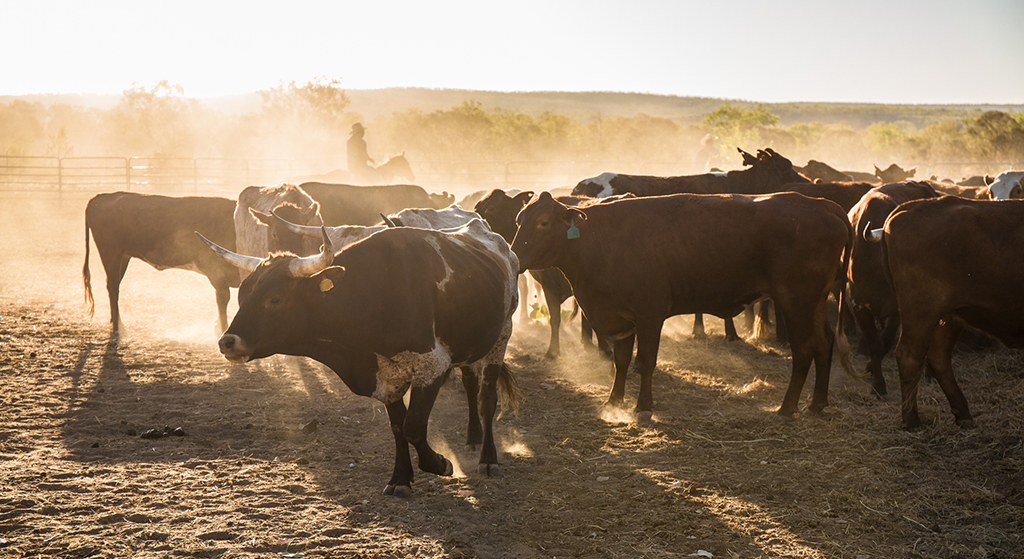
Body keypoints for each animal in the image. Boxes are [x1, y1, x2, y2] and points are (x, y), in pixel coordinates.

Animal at [82, 191, 239, 333]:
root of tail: (101, 197)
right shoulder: (215, 272)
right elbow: (223, 300)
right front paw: (223, 329)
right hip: (111, 254)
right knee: (113, 287)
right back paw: (118, 328)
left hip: (123, 257)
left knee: (112, 285)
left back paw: (115, 322)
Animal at [512, 190, 856, 417]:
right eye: (518, 220)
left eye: (543, 223)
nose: (514, 256)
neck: (598, 239)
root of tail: (825, 206)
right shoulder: (622, 318)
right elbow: (621, 361)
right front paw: (613, 401)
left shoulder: (650, 315)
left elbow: (645, 362)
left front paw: (643, 407)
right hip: (813, 303)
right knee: (824, 343)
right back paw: (816, 404)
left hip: (796, 302)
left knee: (805, 349)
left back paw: (786, 408)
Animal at [868, 195, 1024, 425]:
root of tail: (909, 207)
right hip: (922, 312)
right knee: (910, 355)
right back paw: (912, 420)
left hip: (948, 315)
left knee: (938, 356)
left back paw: (963, 414)